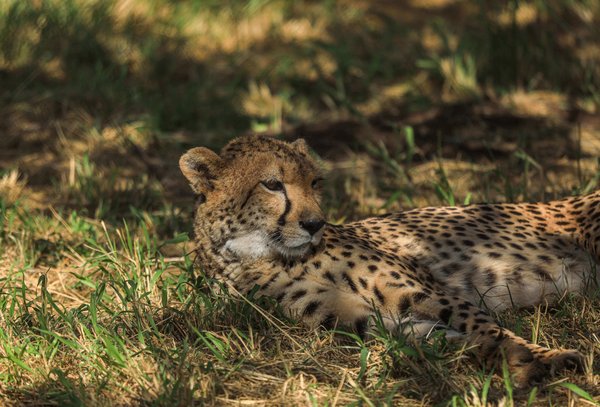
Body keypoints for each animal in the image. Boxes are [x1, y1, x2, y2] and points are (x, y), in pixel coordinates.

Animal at [180, 135, 596, 388]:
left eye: (314, 183)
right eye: (272, 184)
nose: (315, 224)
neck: (260, 256)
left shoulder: (420, 290)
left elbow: (486, 326)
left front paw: (548, 356)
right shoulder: (360, 319)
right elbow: (447, 339)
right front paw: (512, 361)